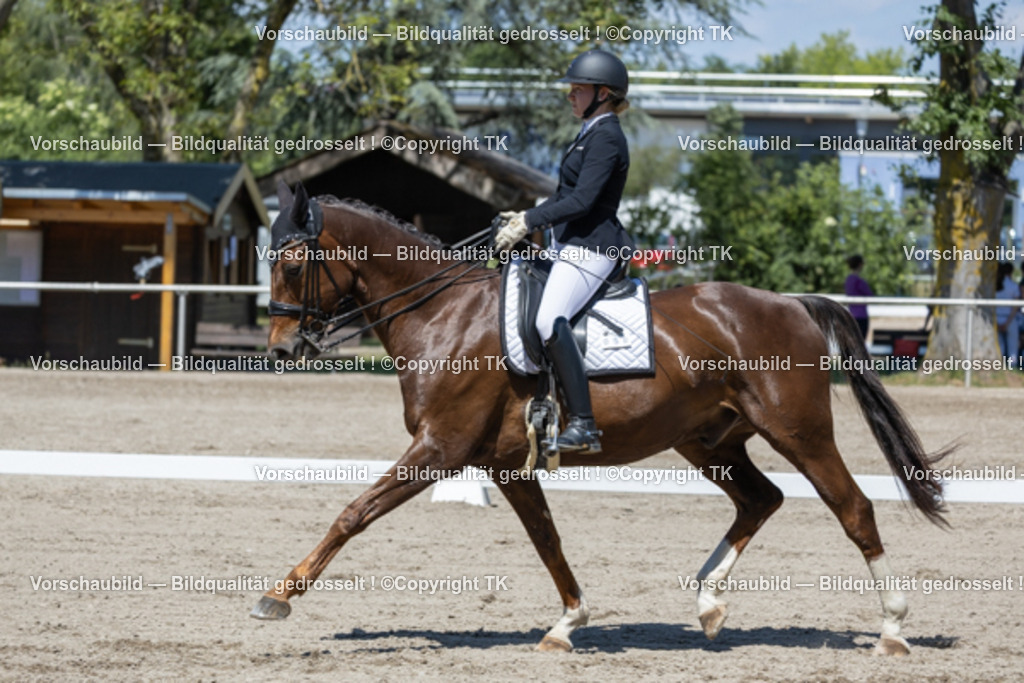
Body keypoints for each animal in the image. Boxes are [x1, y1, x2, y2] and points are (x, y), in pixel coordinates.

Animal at [251, 182, 951, 656]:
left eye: (292, 264)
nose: (282, 351)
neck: (441, 314)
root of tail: (791, 303)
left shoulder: (441, 448)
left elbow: (353, 513)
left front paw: (279, 596)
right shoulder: (504, 465)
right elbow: (548, 540)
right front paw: (567, 624)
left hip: (799, 432)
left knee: (852, 507)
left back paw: (892, 627)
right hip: (710, 441)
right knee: (761, 499)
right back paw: (709, 603)